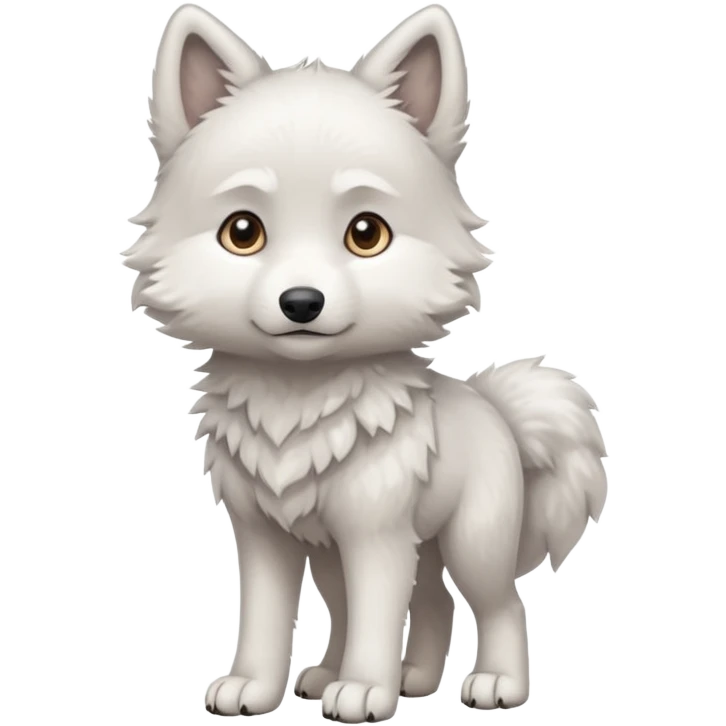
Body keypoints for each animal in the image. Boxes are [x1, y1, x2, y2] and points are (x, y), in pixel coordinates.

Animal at [123, 3, 608, 721]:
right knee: (422, 601)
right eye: (242, 232)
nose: (301, 302)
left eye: (366, 234)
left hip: (469, 541)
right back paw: (390, 677)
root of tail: (494, 408)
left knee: (498, 603)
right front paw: (253, 688)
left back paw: (493, 683)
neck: (296, 398)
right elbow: (266, 619)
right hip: (351, 551)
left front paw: (365, 692)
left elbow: (380, 612)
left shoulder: (375, 535)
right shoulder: (264, 537)